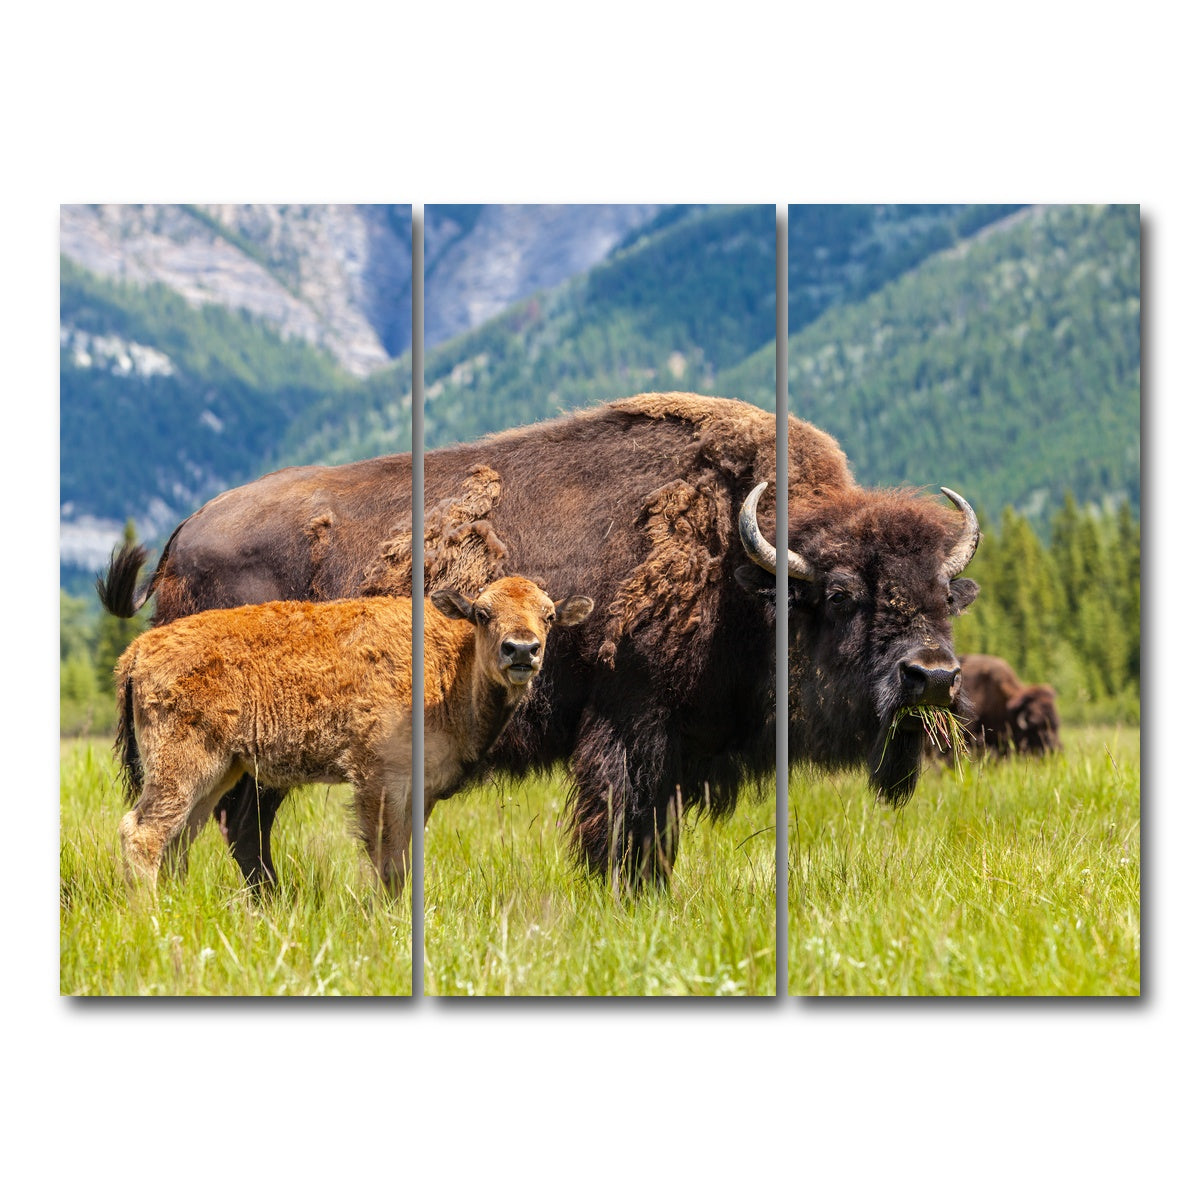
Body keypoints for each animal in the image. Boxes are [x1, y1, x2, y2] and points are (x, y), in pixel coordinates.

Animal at [114, 576, 592, 893]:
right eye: (482, 614)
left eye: (549, 616)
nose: (521, 650)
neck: (450, 665)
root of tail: (138, 649)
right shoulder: (380, 780)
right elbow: (388, 861)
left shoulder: (420, 792)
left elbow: (406, 857)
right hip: (182, 767)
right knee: (143, 833)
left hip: (218, 771)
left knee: (180, 838)